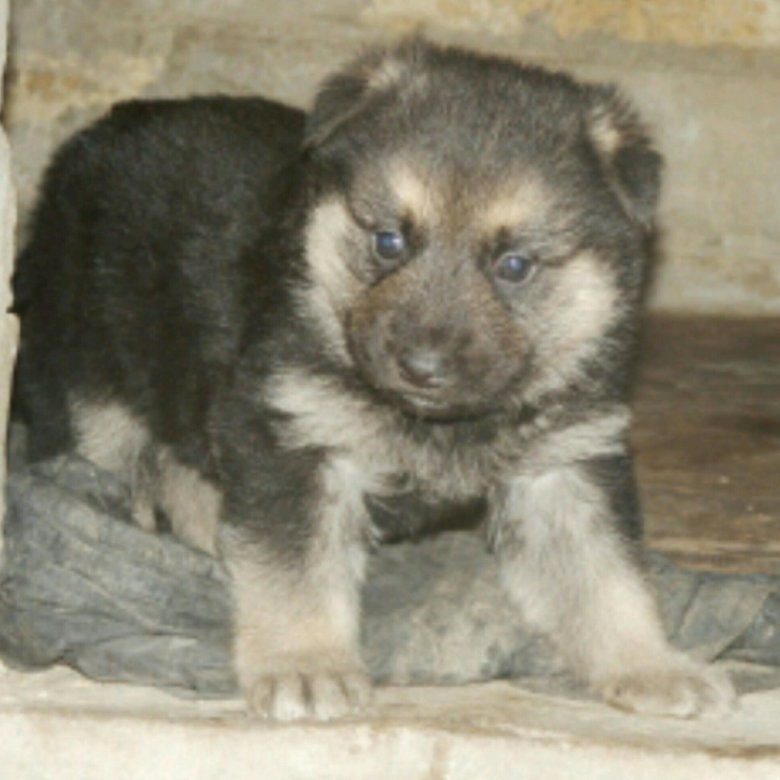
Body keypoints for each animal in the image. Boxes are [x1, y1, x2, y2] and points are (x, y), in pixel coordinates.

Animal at [12, 38, 734, 720]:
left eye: (515, 265)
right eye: (389, 242)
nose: (422, 366)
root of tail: (96, 135)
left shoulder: (566, 466)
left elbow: (608, 580)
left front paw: (652, 665)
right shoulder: (292, 438)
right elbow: (296, 572)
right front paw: (304, 666)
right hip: (89, 398)